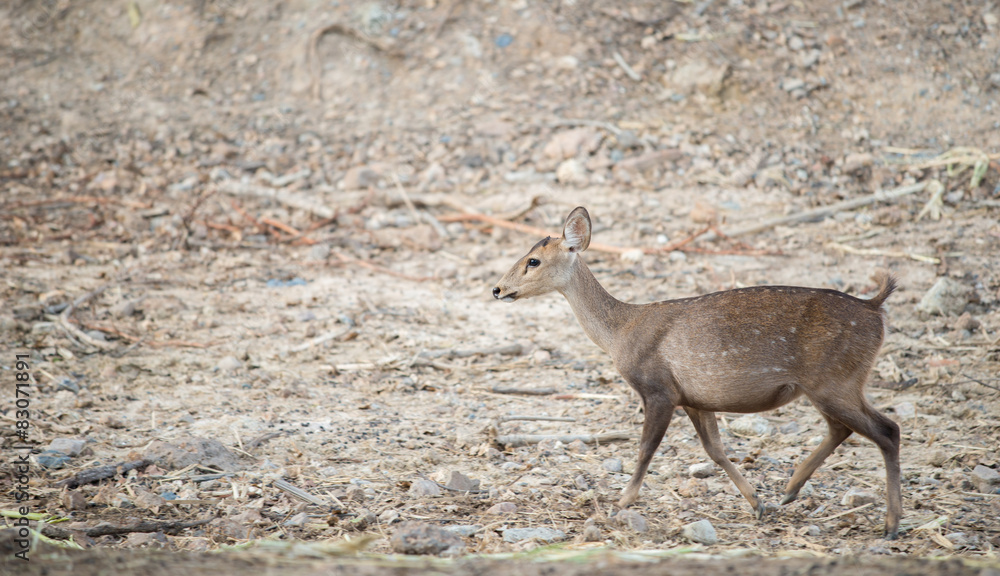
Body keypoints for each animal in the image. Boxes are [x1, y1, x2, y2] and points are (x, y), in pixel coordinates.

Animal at [492, 207, 908, 540]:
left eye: (533, 260)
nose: (497, 289)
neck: (619, 334)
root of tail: (875, 309)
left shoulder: (658, 388)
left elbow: (645, 449)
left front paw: (620, 504)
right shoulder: (694, 397)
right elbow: (715, 450)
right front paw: (756, 502)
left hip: (834, 379)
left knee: (887, 429)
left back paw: (890, 524)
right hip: (829, 384)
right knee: (845, 428)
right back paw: (790, 490)